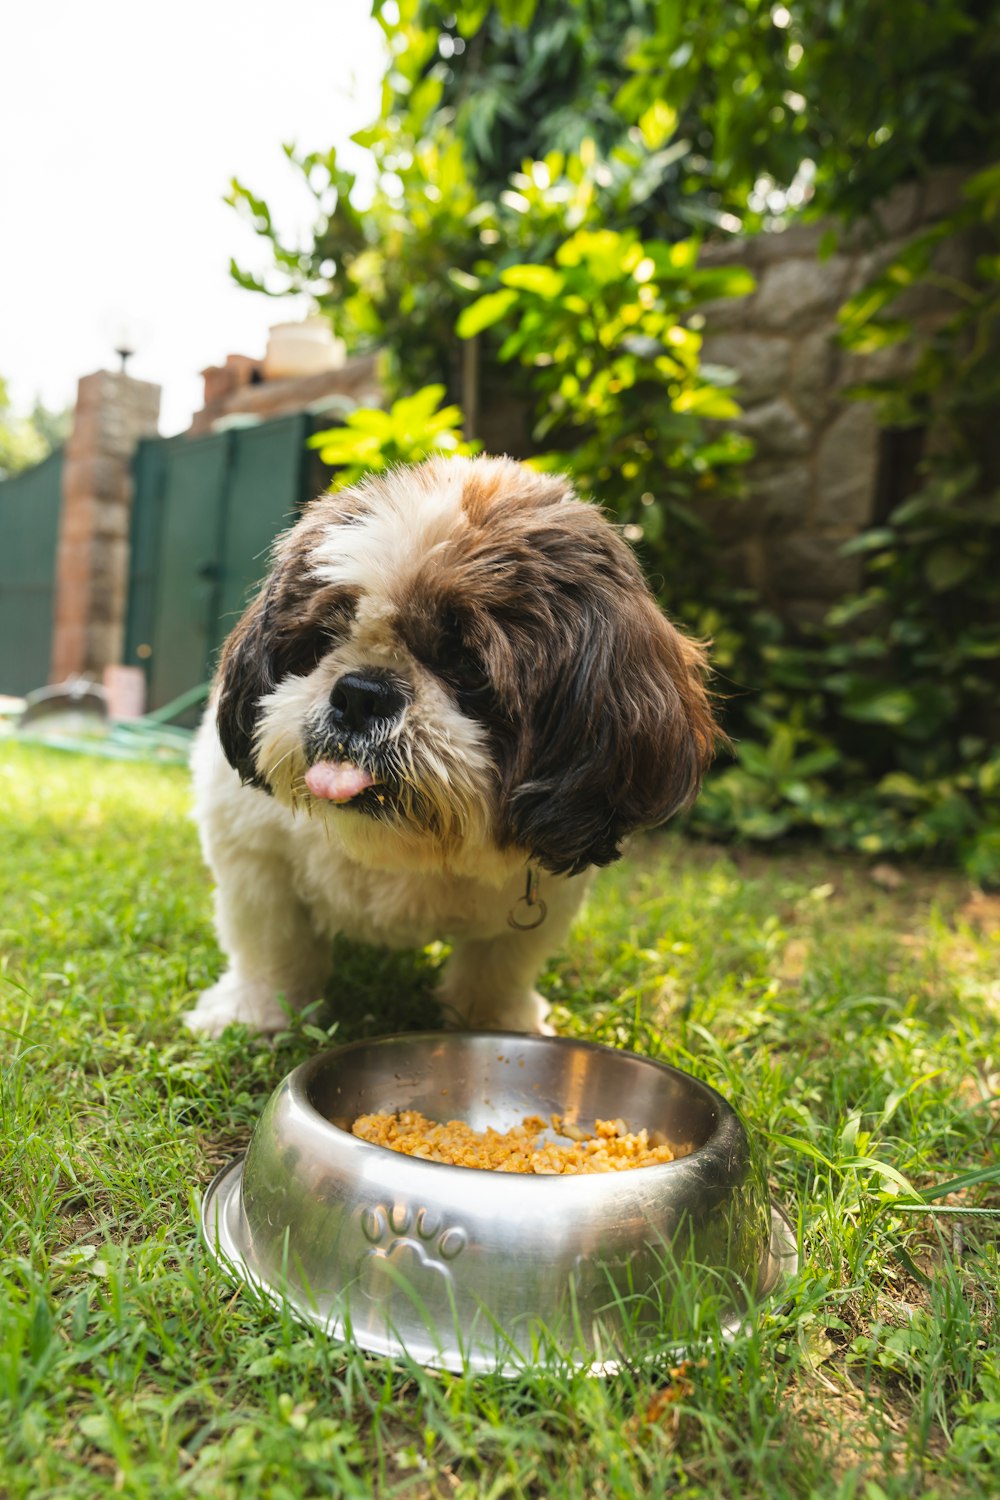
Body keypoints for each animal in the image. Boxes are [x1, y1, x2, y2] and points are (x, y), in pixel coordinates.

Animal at [183, 456, 716, 1038]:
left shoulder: (547, 896)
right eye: (324, 638)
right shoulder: (255, 855)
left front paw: (498, 1021)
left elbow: (501, 967)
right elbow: (270, 944)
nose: (361, 692)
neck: (409, 848)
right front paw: (256, 1012)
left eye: (468, 667)